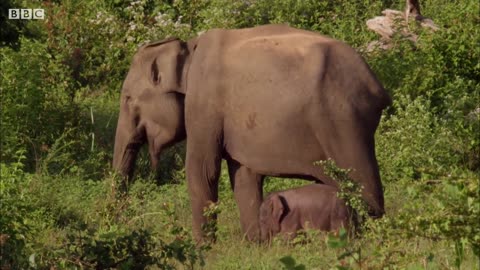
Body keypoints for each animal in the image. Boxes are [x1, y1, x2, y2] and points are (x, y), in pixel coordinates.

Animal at [114, 23, 392, 243]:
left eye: (127, 99)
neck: (188, 50)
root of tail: (377, 85)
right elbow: (244, 177)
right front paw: (256, 245)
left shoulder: (204, 105)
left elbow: (202, 171)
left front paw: (203, 251)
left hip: (343, 121)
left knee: (363, 185)